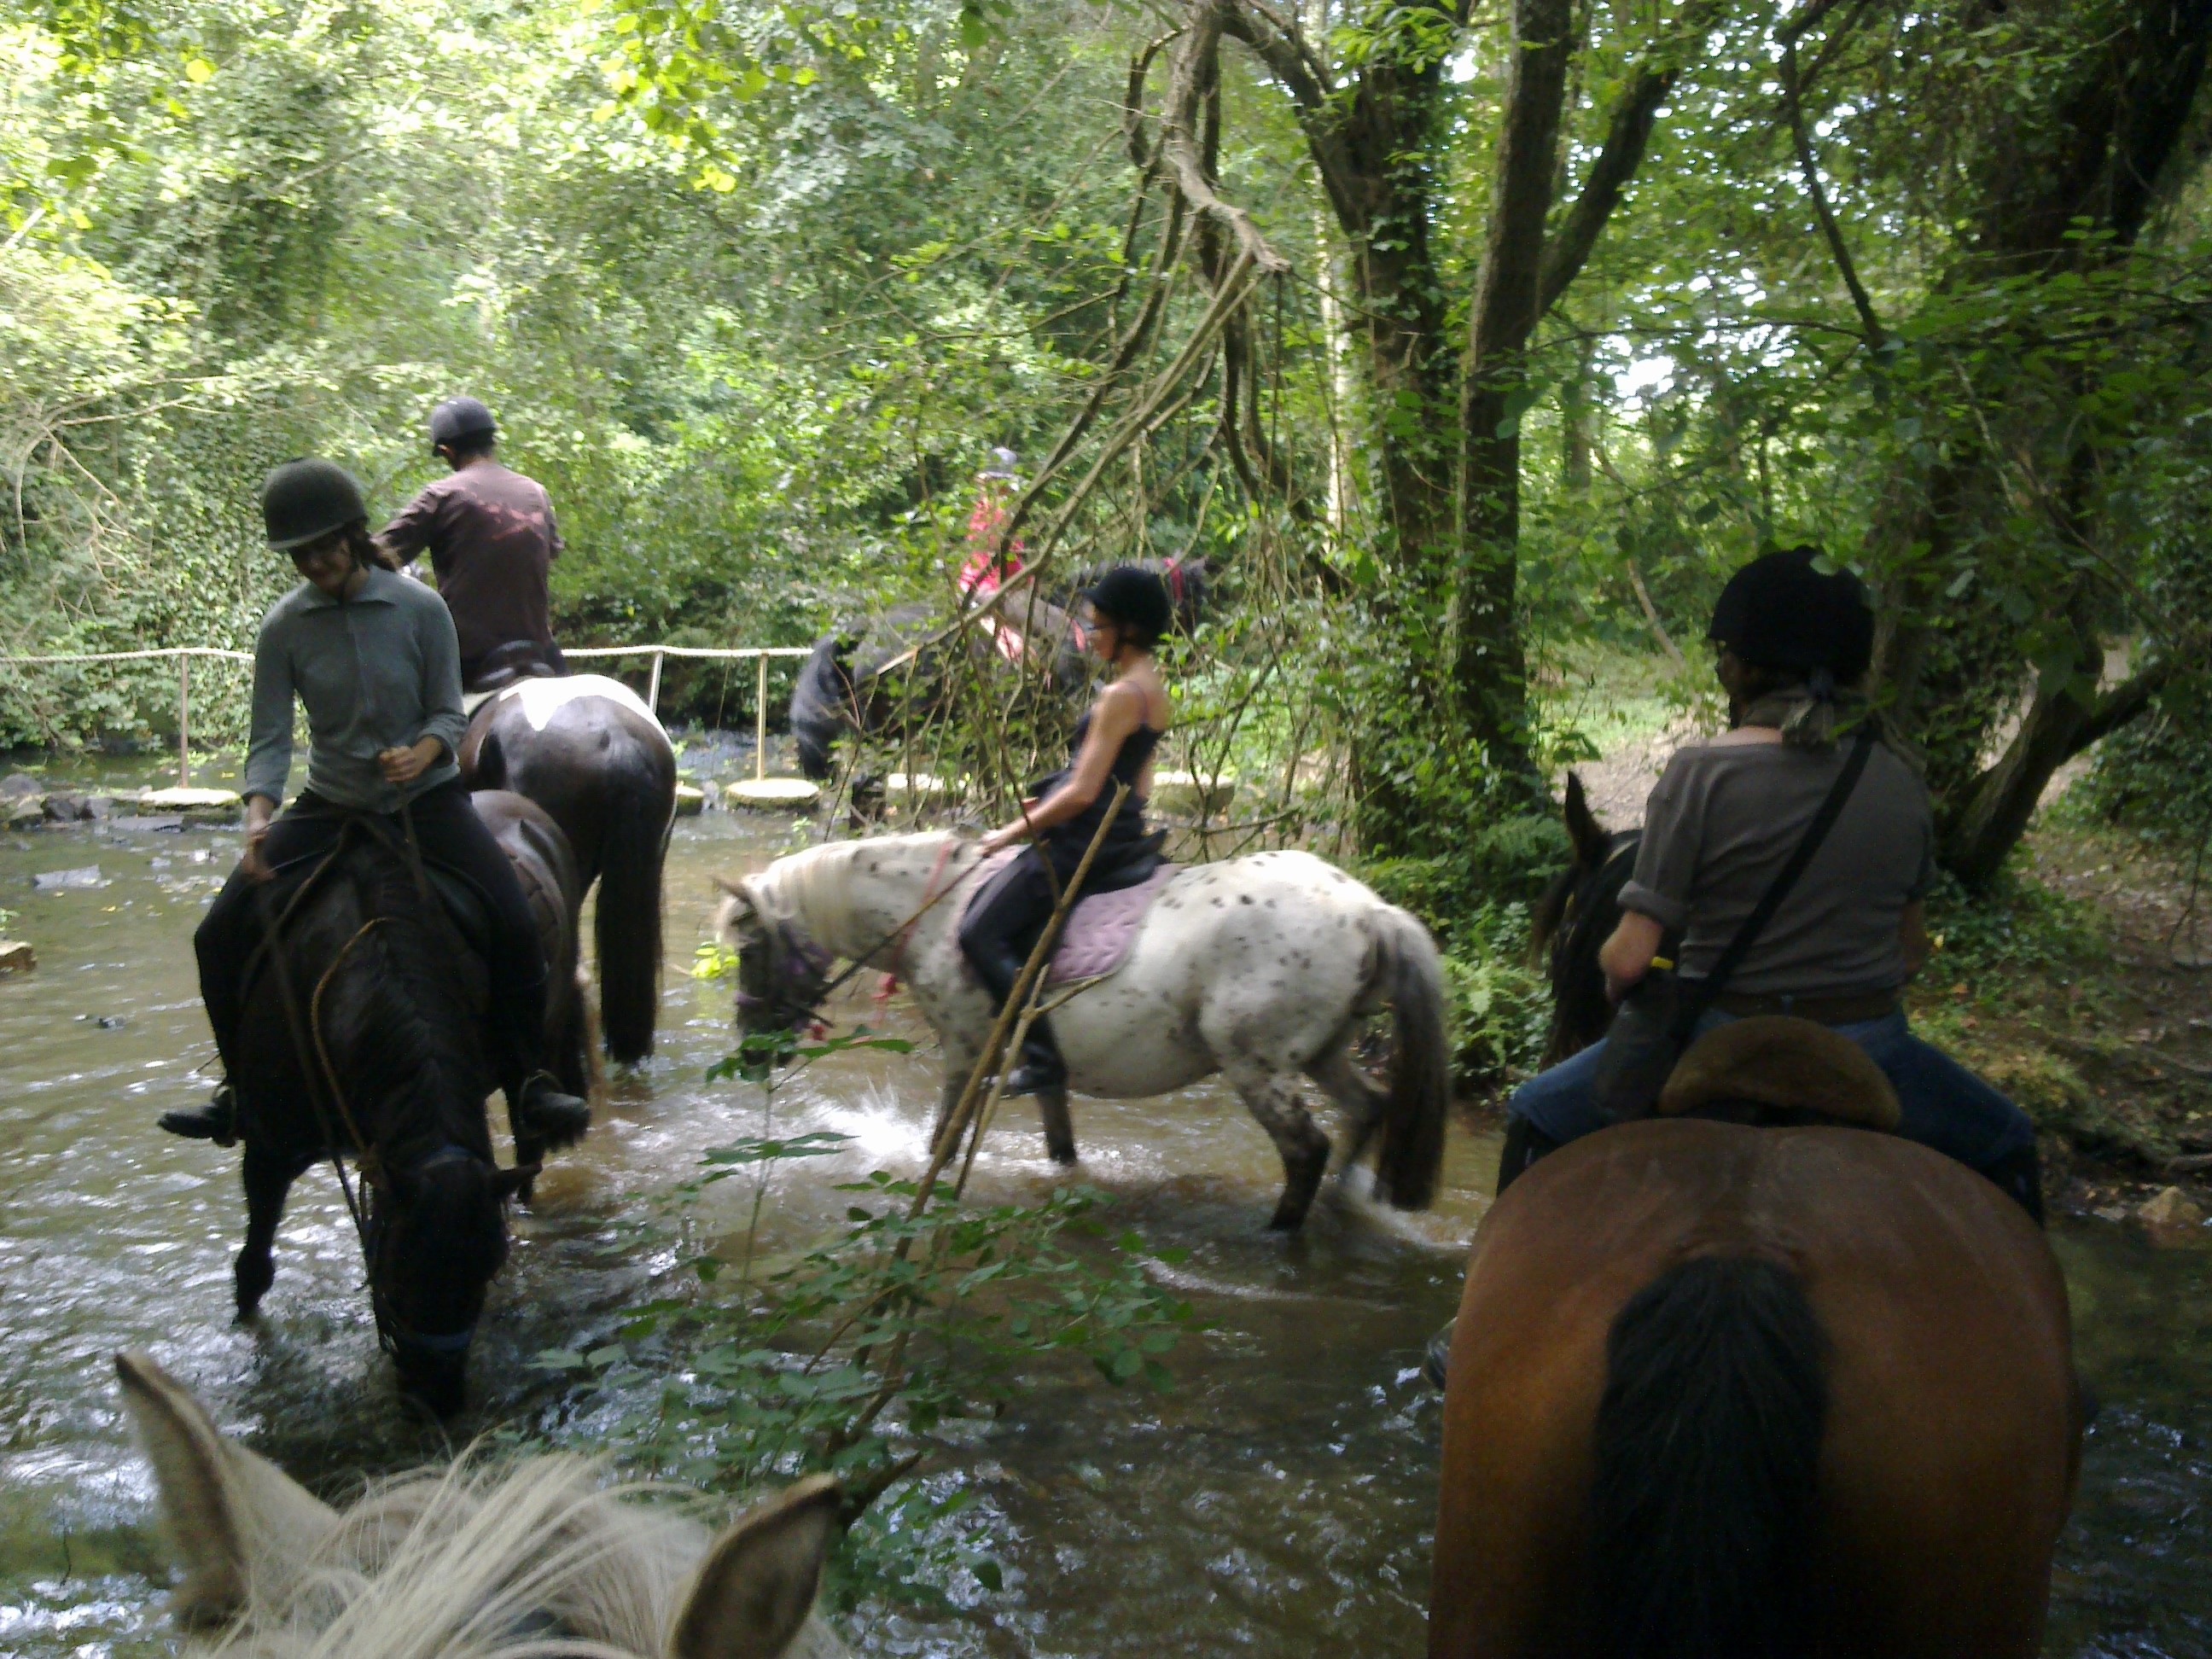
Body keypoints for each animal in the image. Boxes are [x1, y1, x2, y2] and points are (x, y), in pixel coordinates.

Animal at [229, 791, 588, 1415]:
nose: (435, 1400)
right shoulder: (270, 1151)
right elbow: (253, 1269)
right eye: (396, 1269)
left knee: (529, 1143)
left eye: (486, 1270)